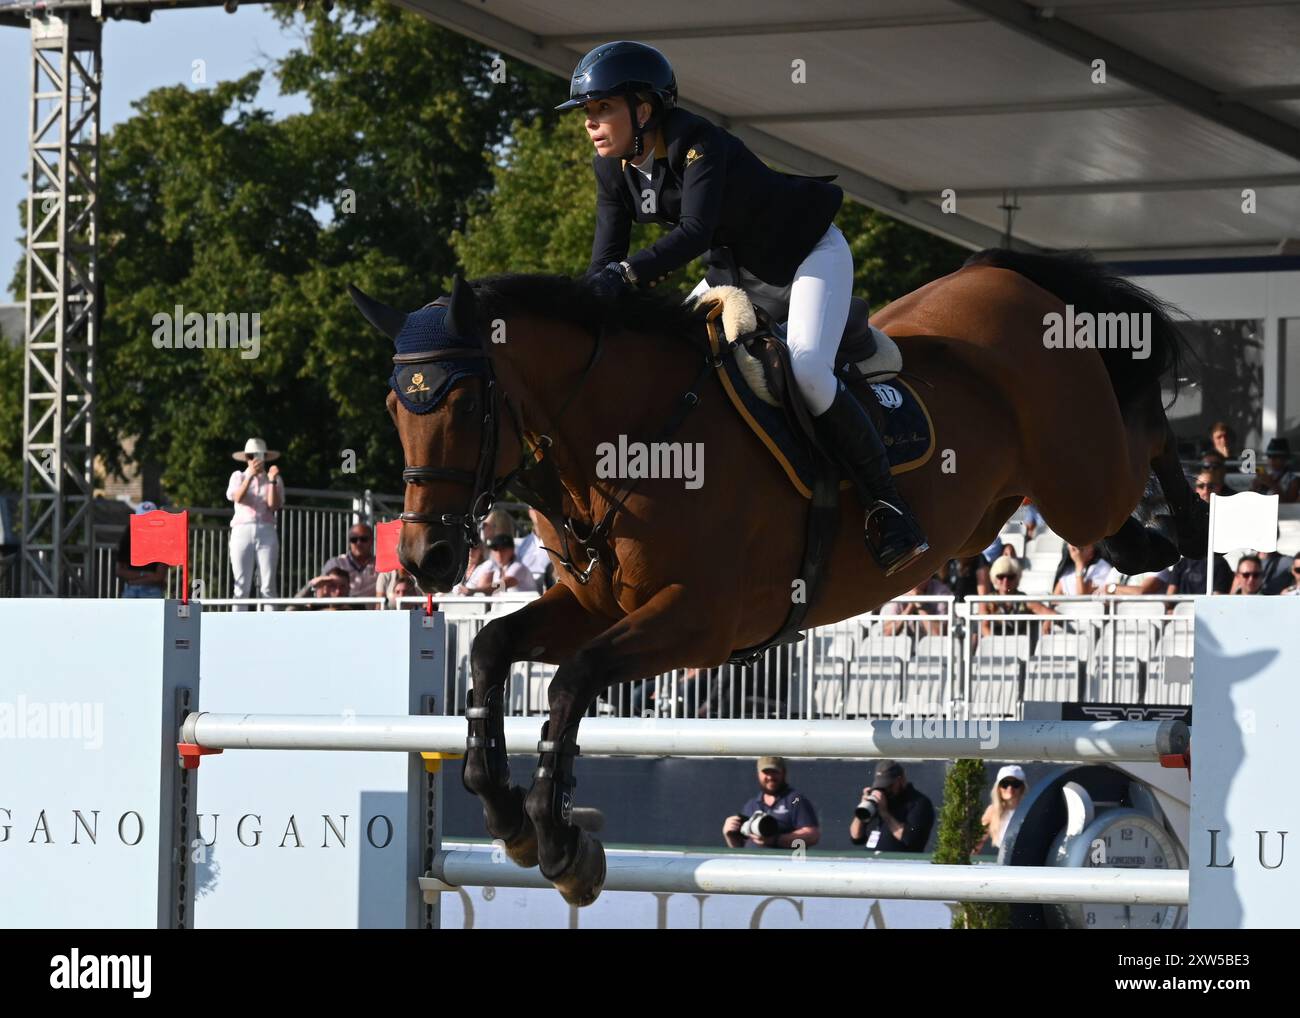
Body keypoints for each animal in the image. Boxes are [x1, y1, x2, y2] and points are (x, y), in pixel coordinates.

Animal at [351, 250, 1201, 904]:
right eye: (395, 405)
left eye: (464, 404)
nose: (424, 559)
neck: (634, 435)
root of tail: (1002, 276)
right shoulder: (594, 603)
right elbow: (492, 649)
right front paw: (507, 817)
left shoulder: (698, 621)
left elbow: (572, 681)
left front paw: (560, 844)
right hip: (1009, 501)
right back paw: (1149, 537)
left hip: (1079, 477)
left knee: (1147, 438)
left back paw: (1189, 524)